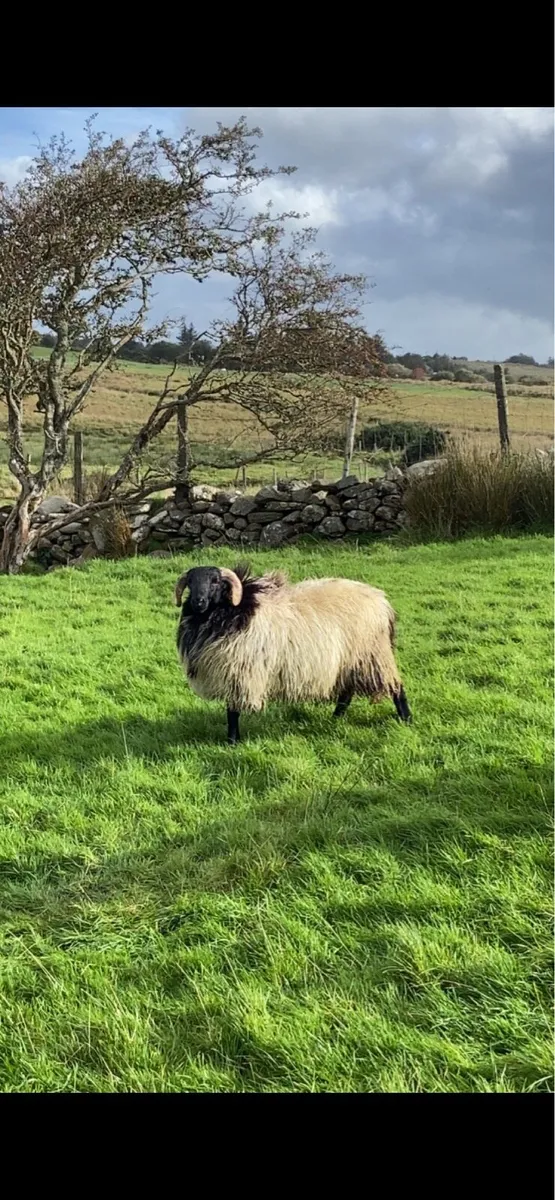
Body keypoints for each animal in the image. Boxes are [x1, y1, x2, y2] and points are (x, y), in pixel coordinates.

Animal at [175, 562, 411, 744]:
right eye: (190, 583)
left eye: (215, 581)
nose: (198, 601)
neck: (234, 610)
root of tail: (383, 602)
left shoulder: (241, 672)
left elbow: (232, 711)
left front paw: (232, 741)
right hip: (351, 659)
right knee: (347, 692)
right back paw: (335, 718)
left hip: (373, 654)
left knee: (396, 687)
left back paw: (407, 719)